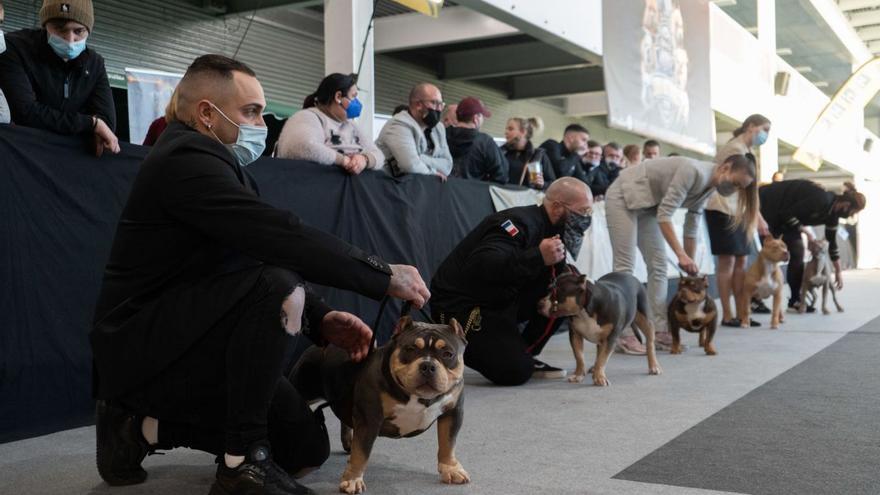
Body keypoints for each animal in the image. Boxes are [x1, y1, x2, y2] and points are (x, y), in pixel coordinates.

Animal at [288, 316, 468, 494]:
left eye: (448, 354)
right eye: (410, 349)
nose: (428, 365)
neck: (419, 397)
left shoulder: (453, 412)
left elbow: (448, 442)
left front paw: (451, 469)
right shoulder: (369, 418)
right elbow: (361, 454)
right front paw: (352, 480)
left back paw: (348, 442)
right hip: (303, 386)